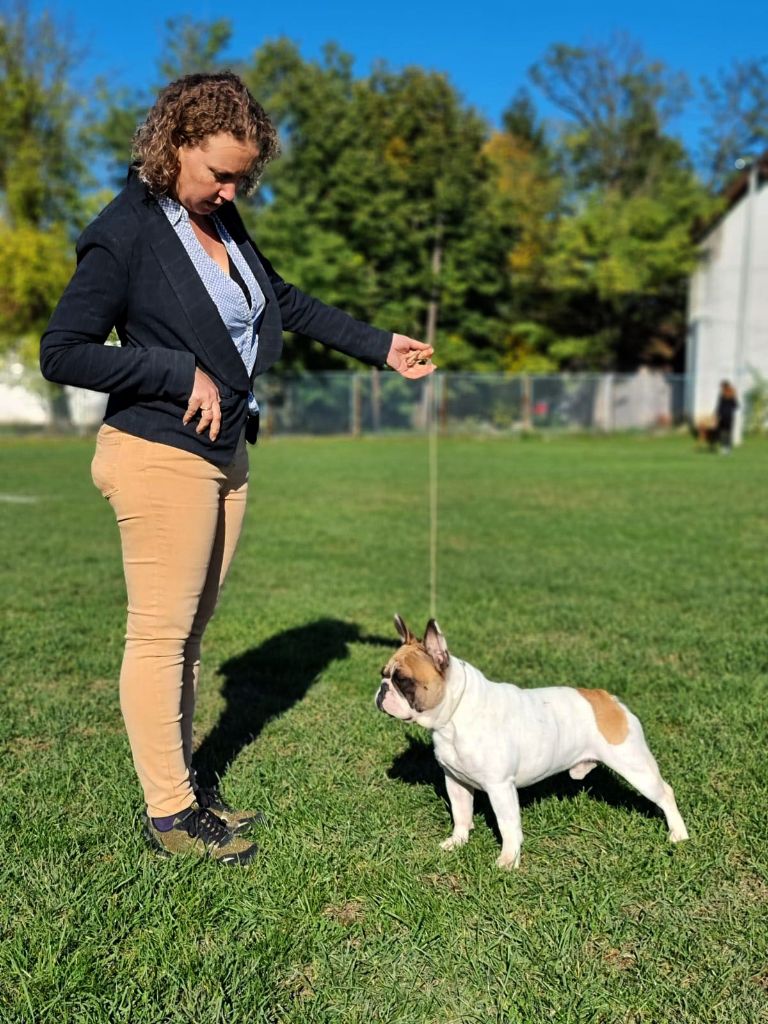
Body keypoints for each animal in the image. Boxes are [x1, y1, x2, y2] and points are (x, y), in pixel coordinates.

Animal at [376, 614, 688, 872]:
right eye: (383, 674)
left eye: (403, 680)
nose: (382, 689)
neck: (454, 715)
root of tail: (608, 699)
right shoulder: (456, 781)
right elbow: (461, 814)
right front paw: (457, 842)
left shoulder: (500, 788)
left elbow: (508, 825)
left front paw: (507, 861)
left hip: (634, 765)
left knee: (665, 793)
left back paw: (678, 834)